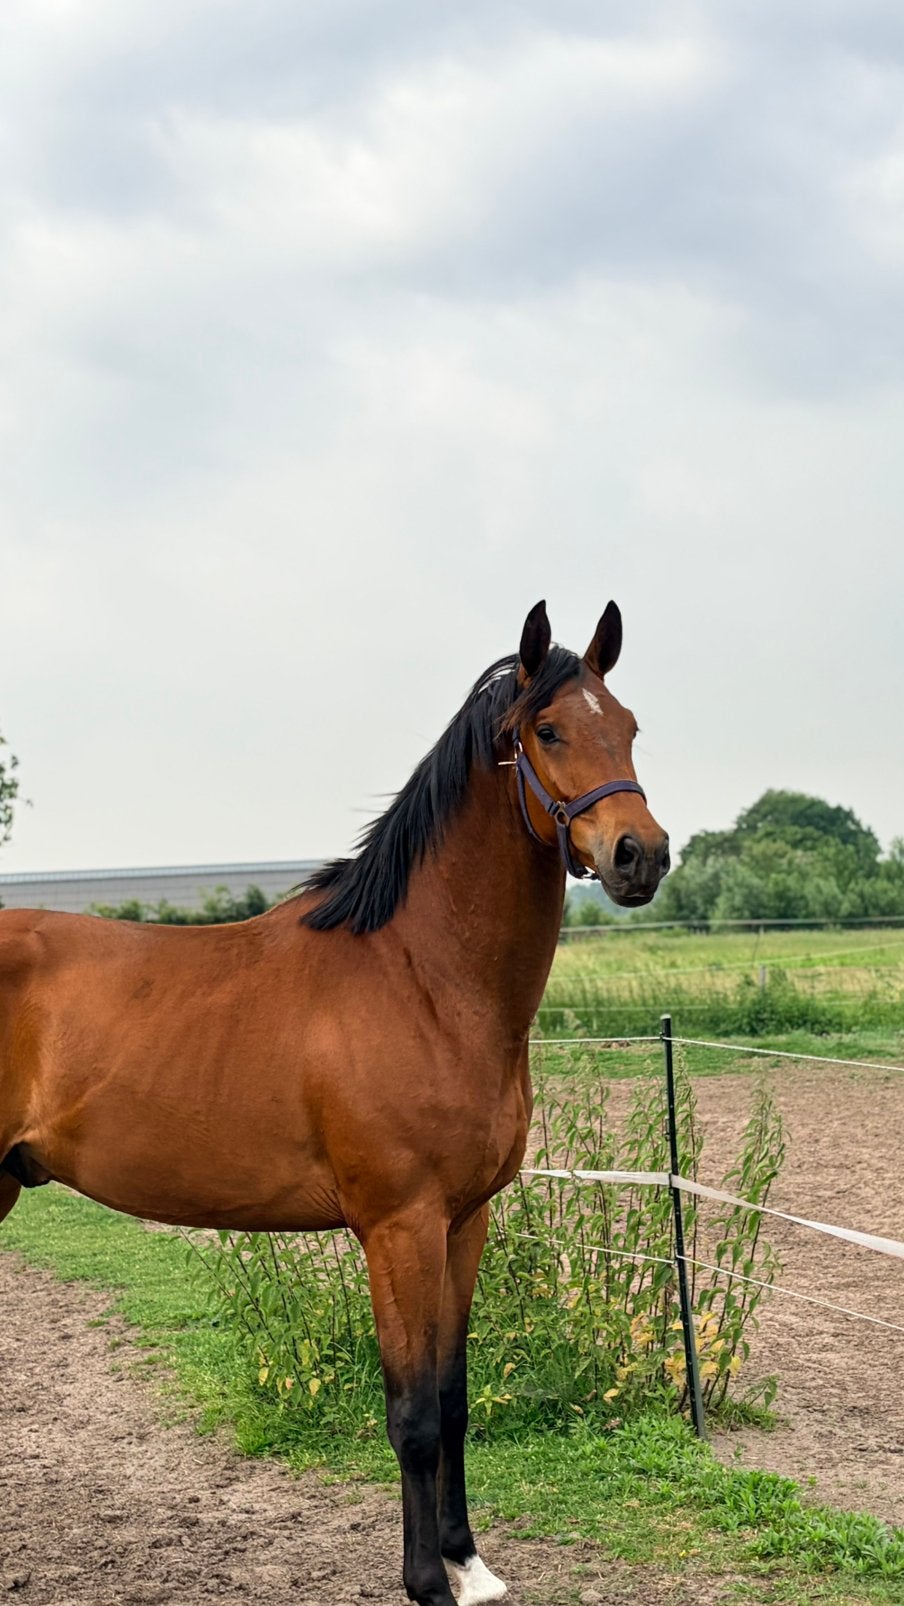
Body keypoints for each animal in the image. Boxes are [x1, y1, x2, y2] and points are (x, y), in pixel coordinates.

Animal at [0, 600, 669, 1606]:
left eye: (627, 726)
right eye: (549, 730)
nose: (643, 855)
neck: (422, 978)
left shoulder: (462, 1221)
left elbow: (454, 1396)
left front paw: (469, 1564)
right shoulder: (398, 1227)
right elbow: (412, 1412)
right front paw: (426, 1581)